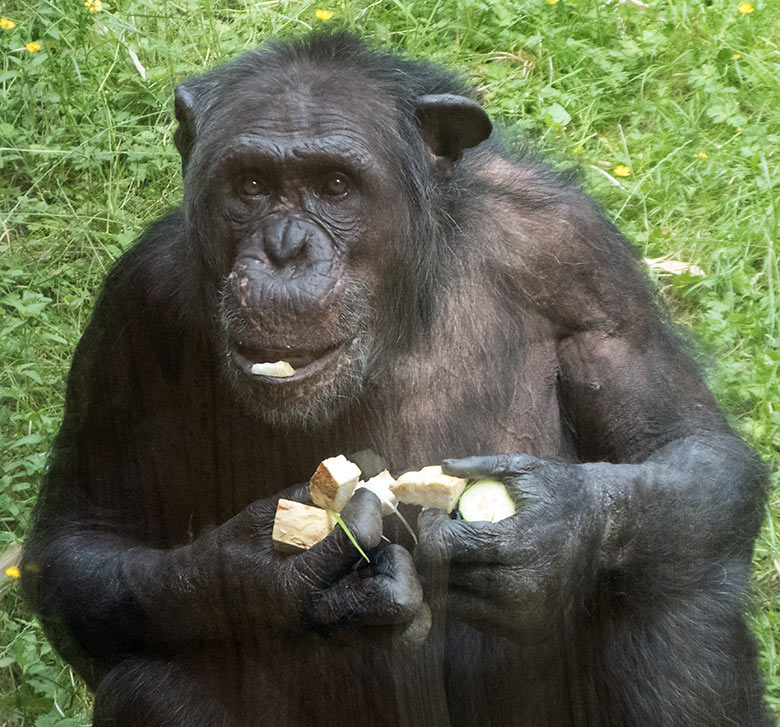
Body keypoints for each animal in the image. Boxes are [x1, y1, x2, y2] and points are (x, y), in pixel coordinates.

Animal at [21, 29, 772, 727]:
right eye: (253, 185)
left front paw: (552, 531)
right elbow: (86, 536)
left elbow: (689, 444)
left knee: (673, 600)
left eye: (335, 185)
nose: (286, 250)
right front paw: (271, 573)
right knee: (152, 682)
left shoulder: (578, 256)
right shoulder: (138, 303)